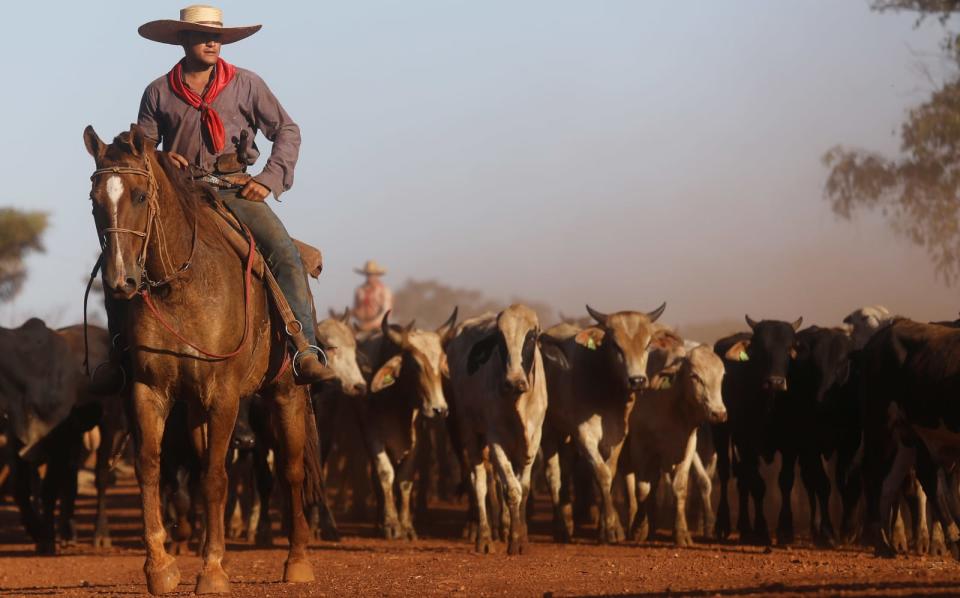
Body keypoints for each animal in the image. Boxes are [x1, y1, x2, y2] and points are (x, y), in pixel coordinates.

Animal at [84, 124, 314, 596]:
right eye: (95, 200)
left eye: (140, 195)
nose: (120, 281)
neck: (182, 284)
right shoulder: (149, 391)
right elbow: (151, 468)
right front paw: (161, 567)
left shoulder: (223, 394)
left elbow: (215, 478)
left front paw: (211, 570)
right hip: (193, 409)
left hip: (285, 392)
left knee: (291, 469)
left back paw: (297, 559)